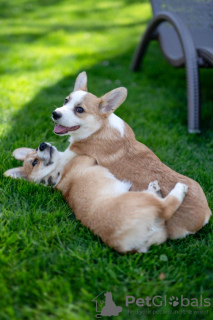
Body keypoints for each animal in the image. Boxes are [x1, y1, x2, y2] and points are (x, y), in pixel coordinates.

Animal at [4, 144, 188, 254]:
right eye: (34, 162)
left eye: (36, 150)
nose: (42, 144)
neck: (58, 173)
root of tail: (123, 243)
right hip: (141, 200)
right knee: (167, 206)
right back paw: (179, 189)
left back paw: (154, 189)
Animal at [50, 71, 211, 239]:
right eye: (66, 100)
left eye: (80, 109)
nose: (55, 113)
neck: (100, 128)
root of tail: (203, 217)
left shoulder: (69, 154)